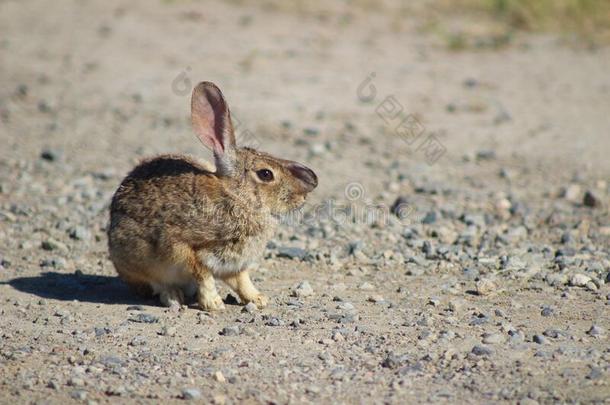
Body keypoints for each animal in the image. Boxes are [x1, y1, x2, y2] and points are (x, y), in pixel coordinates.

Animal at [107, 81, 318, 310]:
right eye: (266, 174)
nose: (302, 198)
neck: (237, 197)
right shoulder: (182, 247)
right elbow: (203, 275)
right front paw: (214, 304)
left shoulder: (234, 264)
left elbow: (242, 280)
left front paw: (258, 299)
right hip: (137, 260)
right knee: (158, 284)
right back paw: (174, 297)